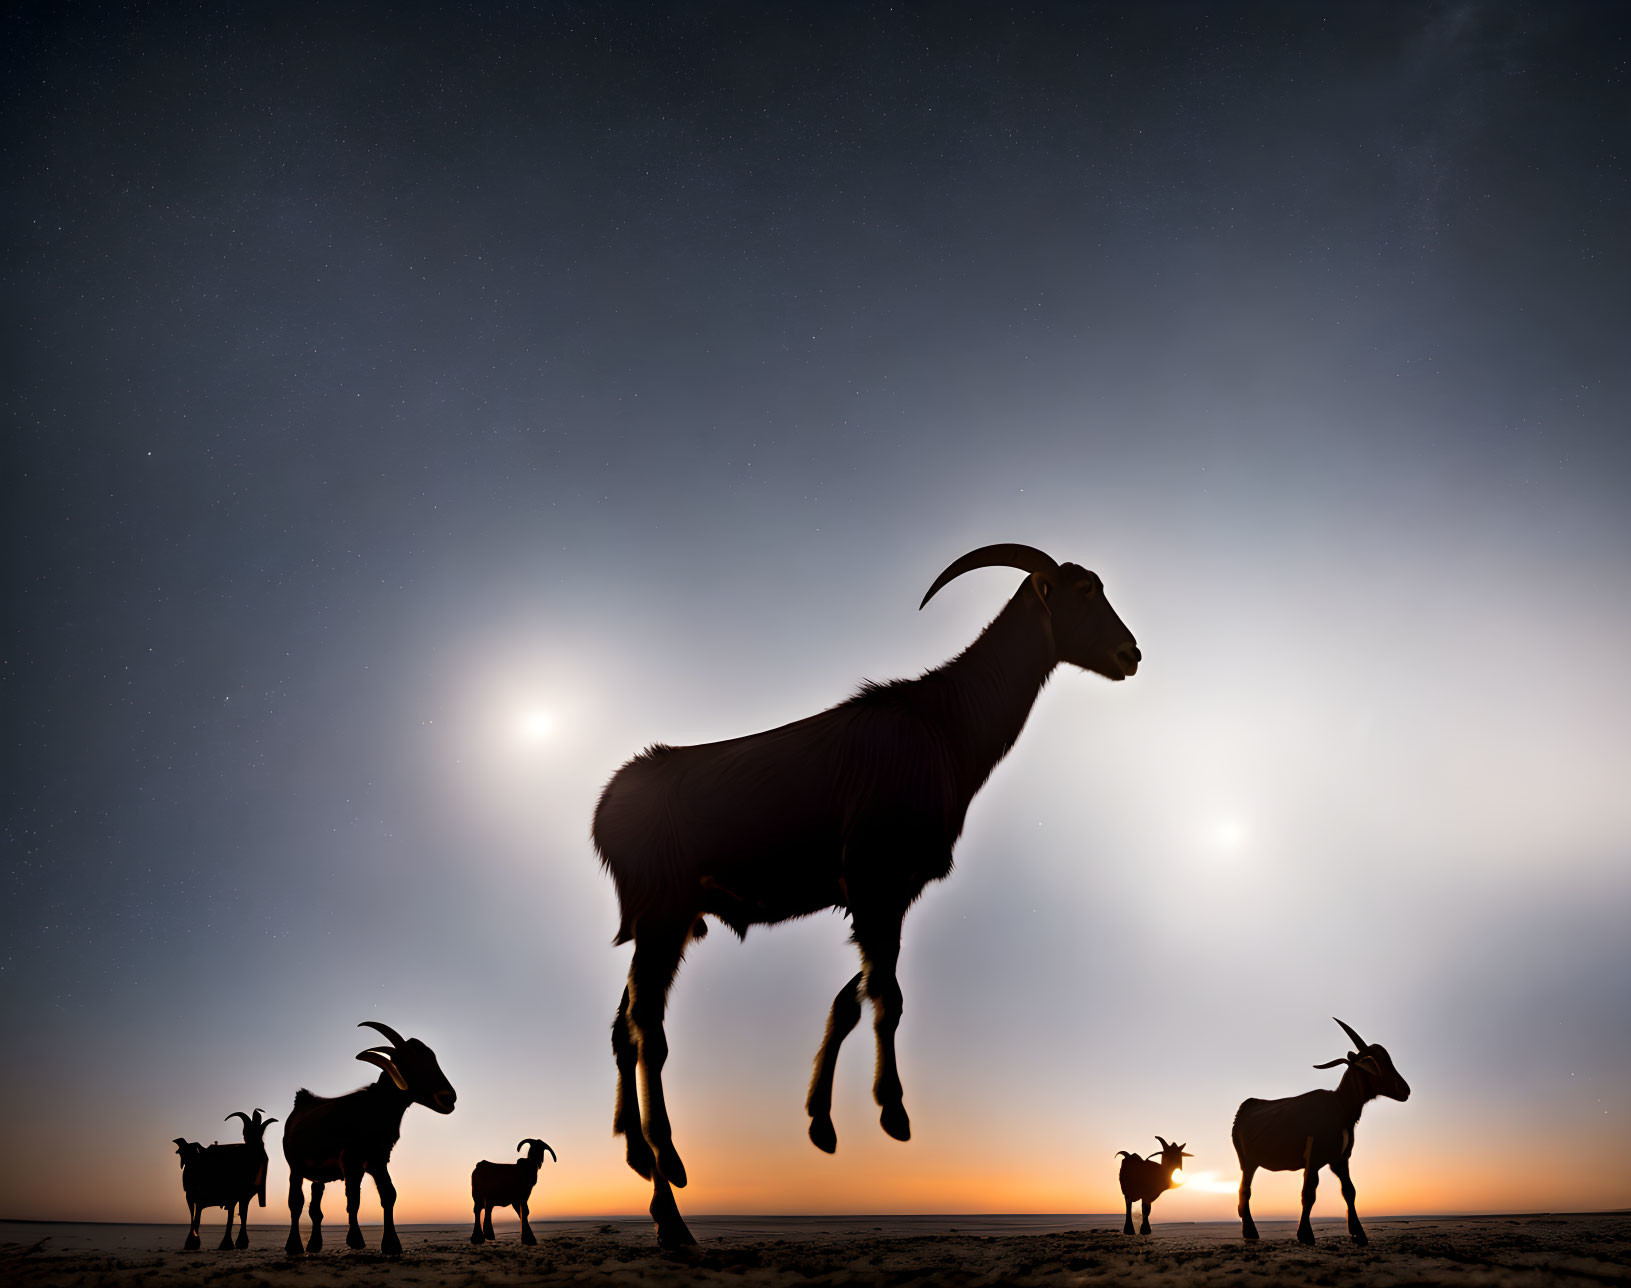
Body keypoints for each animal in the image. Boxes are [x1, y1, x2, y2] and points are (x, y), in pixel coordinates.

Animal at [593, 544, 1141, 1252]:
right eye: (1079, 594)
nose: (1131, 653)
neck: (946, 723)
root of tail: (607, 807)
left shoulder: (886, 895)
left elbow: (854, 997)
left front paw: (821, 1123)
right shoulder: (877, 880)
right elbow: (889, 996)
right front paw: (893, 1112)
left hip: (667, 921)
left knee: (623, 1027)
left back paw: (638, 1155)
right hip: (663, 914)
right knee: (649, 1031)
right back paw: (670, 1200)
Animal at [1226, 1017, 1409, 1252]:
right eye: (1373, 1063)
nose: (1404, 1089)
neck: (1340, 1106)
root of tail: (1245, 1108)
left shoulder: (1340, 1159)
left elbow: (1349, 1191)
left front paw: (1358, 1234)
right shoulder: (1313, 1159)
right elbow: (1309, 1193)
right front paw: (1305, 1234)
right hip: (1247, 1160)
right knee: (1245, 1189)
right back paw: (1250, 1231)